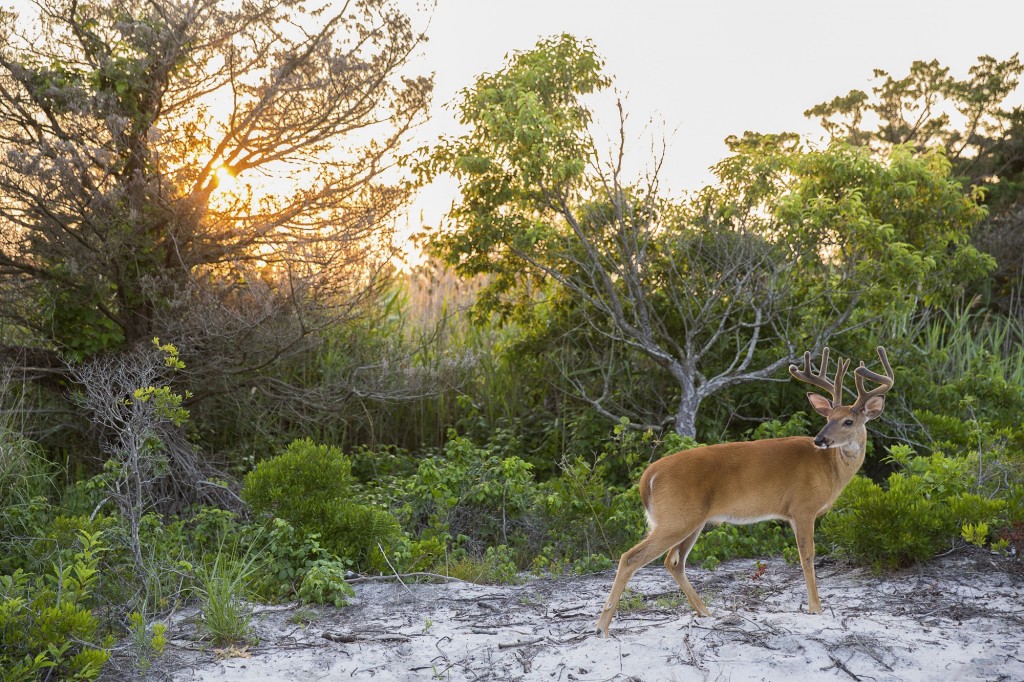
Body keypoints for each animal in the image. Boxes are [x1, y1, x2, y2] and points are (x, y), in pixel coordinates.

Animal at [598, 346, 892, 638]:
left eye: (848, 421)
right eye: (828, 418)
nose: (820, 439)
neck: (829, 469)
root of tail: (647, 477)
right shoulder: (802, 508)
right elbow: (807, 557)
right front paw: (815, 609)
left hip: (691, 520)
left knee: (673, 561)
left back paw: (705, 613)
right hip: (676, 517)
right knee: (630, 557)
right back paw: (602, 627)